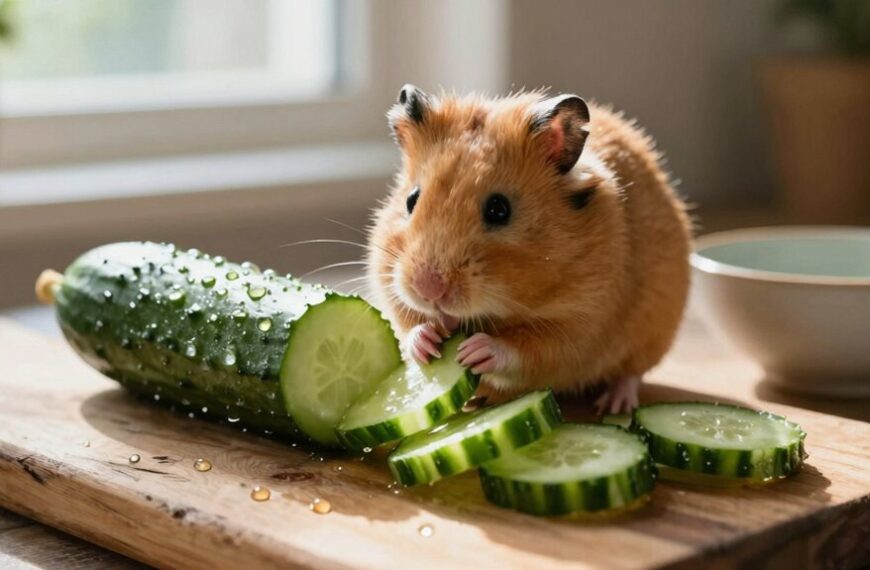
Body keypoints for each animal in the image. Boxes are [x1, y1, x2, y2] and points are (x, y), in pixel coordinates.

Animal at [366, 85, 692, 414]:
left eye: (499, 210)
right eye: (411, 199)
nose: (429, 290)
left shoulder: (581, 324)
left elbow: (527, 349)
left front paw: (475, 350)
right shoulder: (390, 283)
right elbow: (407, 322)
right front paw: (426, 342)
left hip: (653, 333)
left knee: (631, 374)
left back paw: (614, 405)